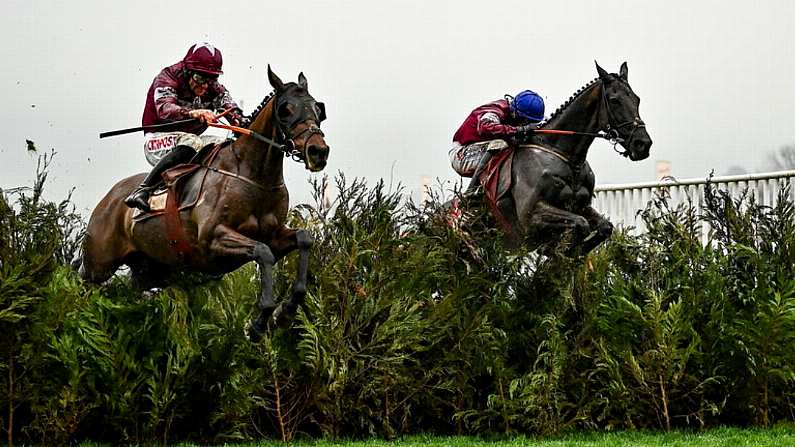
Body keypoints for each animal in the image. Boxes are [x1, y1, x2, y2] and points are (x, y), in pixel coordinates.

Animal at [79, 66, 328, 340]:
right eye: (286, 109)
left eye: (318, 109)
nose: (318, 152)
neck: (253, 175)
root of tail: (108, 199)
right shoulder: (212, 239)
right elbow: (263, 253)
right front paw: (259, 322)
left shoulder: (273, 235)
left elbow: (304, 239)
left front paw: (285, 312)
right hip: (97, 267)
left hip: (150, 270)